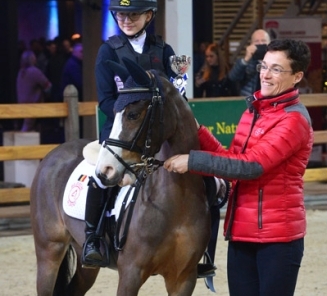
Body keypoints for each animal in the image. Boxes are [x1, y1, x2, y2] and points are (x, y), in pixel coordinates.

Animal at [29, 56, 211, 294]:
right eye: (115, 113)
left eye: (133, 114)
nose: (104, 171)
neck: (177, 199)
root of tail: (53, 154)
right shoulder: (131, 274)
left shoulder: (183, 278)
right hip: (49, 252)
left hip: (84, 262)